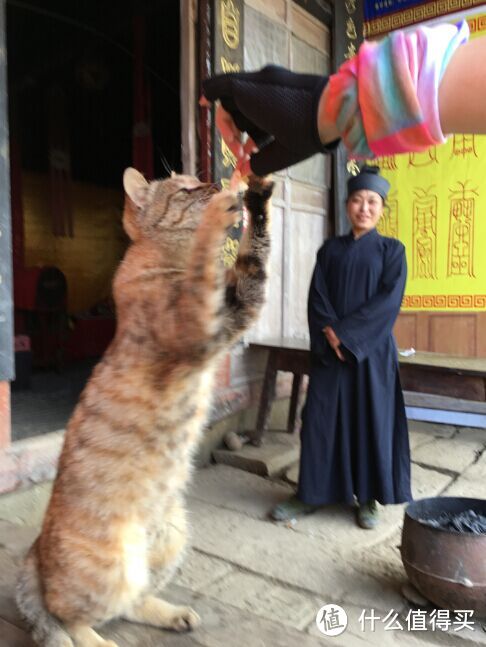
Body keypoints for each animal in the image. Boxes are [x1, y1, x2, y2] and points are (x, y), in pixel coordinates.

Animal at [16, 168, 274, 647]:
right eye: (185, 188)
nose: (214, 184)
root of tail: (32, 556)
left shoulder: (236, 308)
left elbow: (255, 259)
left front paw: (258, 196)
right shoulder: (197, 323)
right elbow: (206, 262)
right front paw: (221, 211)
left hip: (173, 536)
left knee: (132, 601)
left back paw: (172, 614)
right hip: (111, 568)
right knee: (69, 615)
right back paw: (98, 642)